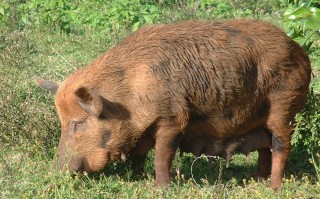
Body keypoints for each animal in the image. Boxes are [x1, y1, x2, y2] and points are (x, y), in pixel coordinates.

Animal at [36, 19, 312, 190]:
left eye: (78, 123)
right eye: (62, 123)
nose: (54, 171)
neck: (129, 96)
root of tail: (300, 51)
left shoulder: (172, 118)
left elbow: (162, 154)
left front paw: (162, 187)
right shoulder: (146, 126)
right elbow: (140, 153)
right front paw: (136, 178)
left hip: (283, 106)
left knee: (281, 146)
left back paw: (274, 187)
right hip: (262, 118)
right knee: (265, 147)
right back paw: (256, 179)